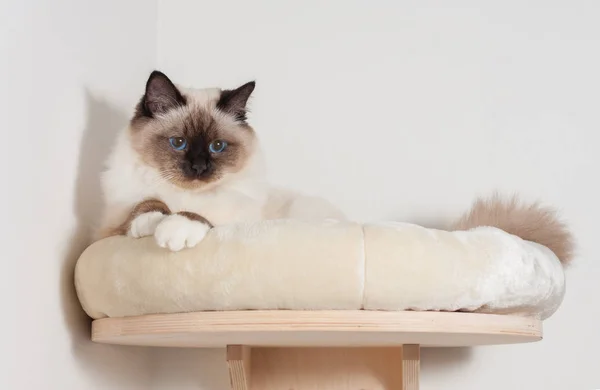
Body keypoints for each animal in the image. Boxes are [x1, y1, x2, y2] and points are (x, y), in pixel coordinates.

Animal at [96, 70, 344, 251]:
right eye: (178, 142)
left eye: (217, 146)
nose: (199, 167)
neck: (186, 195)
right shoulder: (106, 234)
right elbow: (146, 204)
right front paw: (152, 221)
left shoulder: (233, 224)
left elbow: (200, 217)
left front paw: (175, 229)